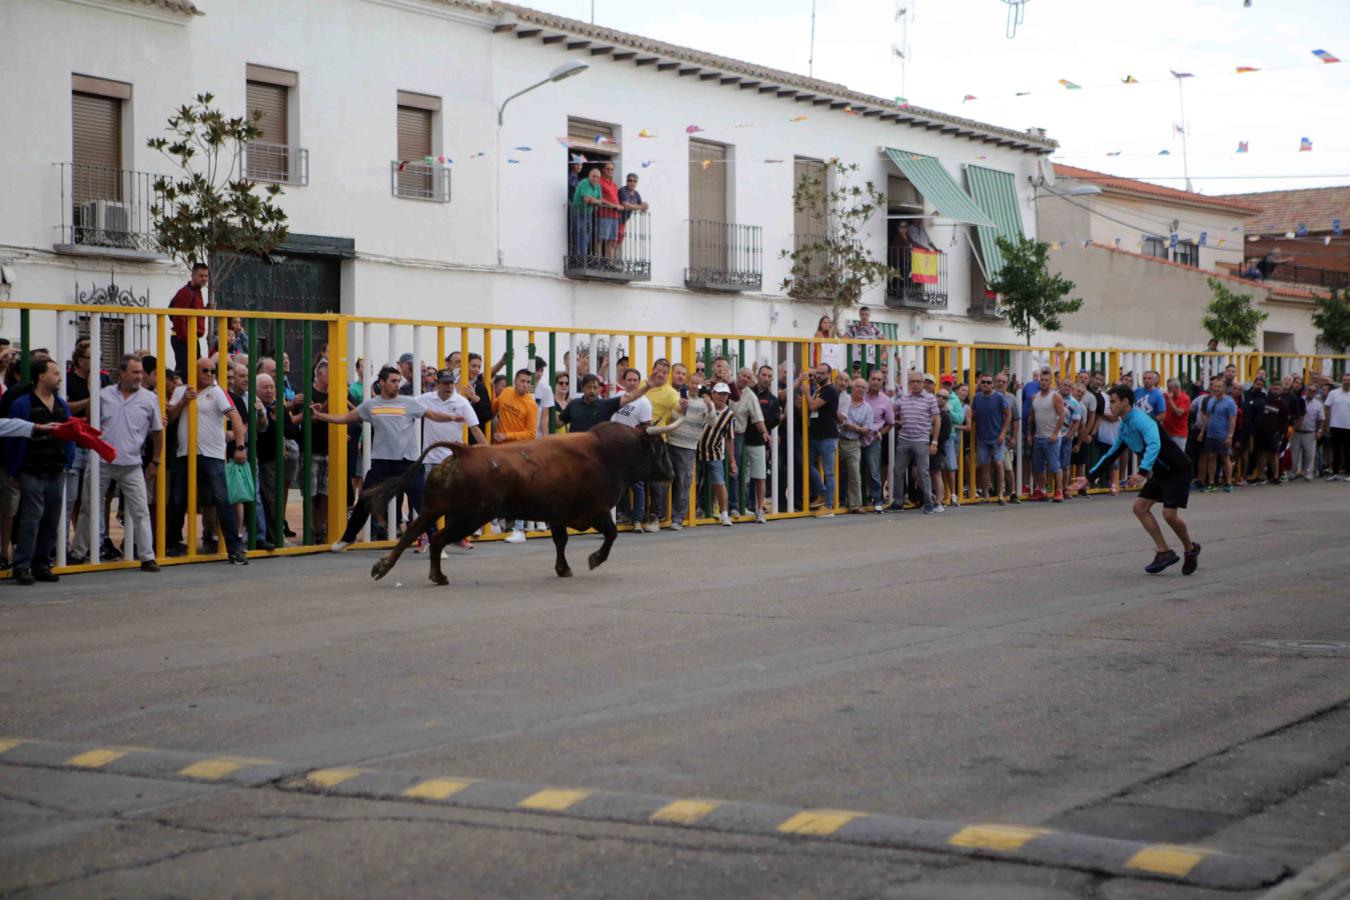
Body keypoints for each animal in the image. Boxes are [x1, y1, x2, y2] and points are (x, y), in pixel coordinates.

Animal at [361, 423, 675, 585]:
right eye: (659, 449)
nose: (672, 473)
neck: (607, 454)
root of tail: (462, 451)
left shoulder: (557, 515)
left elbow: (560, 541)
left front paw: (563, 568)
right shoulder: (596, 512)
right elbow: (610, 534)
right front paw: (594, 560)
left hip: (433, 507)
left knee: (413, 533)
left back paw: (382, 567)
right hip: (469, 516)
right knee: (437, 538)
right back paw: (438, 576)